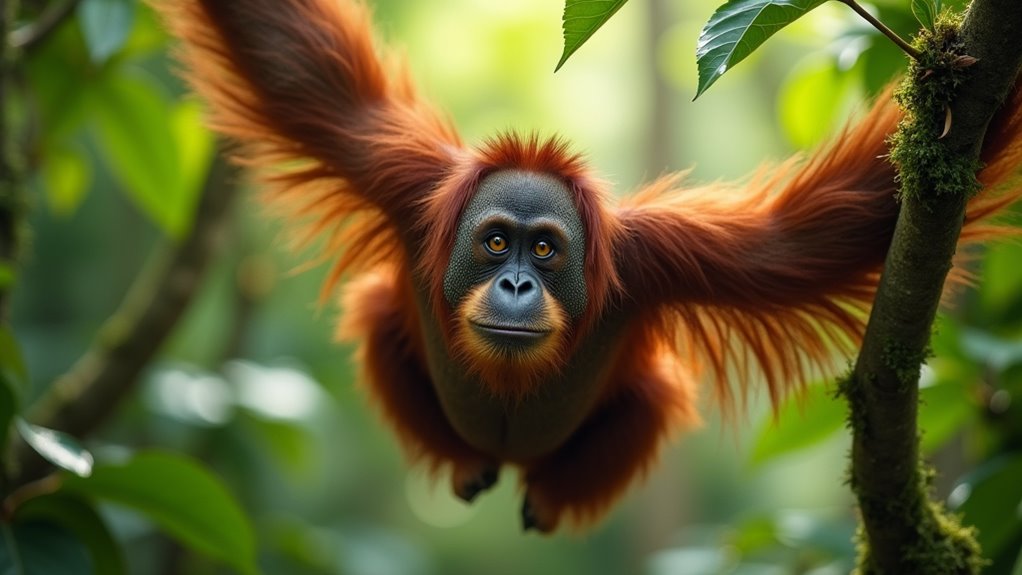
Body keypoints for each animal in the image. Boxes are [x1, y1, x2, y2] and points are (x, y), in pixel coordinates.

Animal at [154, 0, 1022, 533]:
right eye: (495, 241)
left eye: (545, 248)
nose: (515, 282)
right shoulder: (403, 179)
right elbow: (288, 57)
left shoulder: (661, 255)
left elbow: (825, 230)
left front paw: (959, 68)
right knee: (374, 316)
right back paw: (469, 468)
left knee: (658, 392)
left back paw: (542, 502)